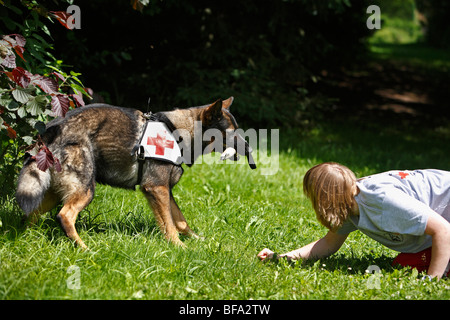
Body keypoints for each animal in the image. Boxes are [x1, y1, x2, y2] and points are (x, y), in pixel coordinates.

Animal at [15, 97, 255, 248]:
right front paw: (179, 247)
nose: (249, 149)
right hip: (85, 189)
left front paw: (197, 240)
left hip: (53, 192)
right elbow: (170, 225)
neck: (180, 131)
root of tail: (53, 130)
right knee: (65, 216)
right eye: (231, 133)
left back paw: (27, 239)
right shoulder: (156, 187)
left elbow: (180, 221)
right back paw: (84, 248)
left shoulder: (165, 190)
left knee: (31, 214)